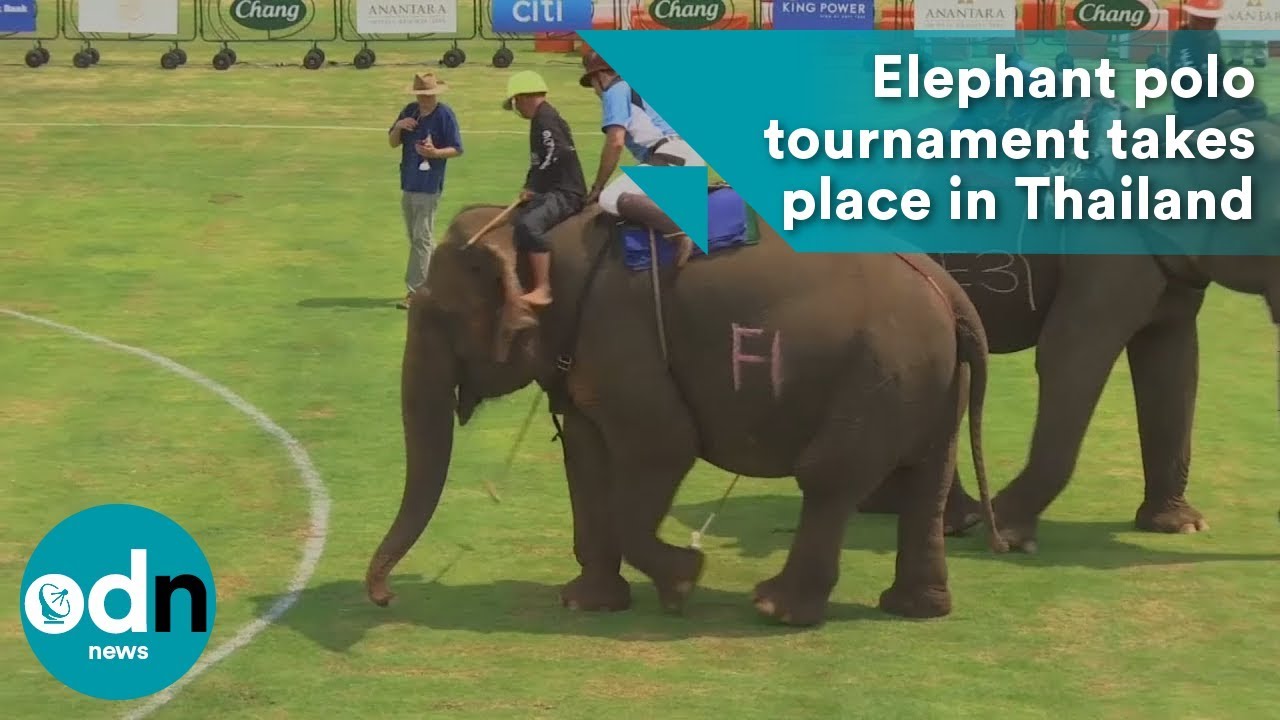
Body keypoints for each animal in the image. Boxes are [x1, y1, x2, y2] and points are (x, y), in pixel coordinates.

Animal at [364, 200, 1008, 626]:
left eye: (438, 315)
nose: (386, 596)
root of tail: (950, 291)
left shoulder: (623, 339)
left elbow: (662, 448)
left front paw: (682, 583)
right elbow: (585, 458)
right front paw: (586, 602)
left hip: (880, 371)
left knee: (830, 477)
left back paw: (775, 608)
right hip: (927, 377)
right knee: (925, 478)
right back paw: (916, 609)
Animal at [854, 97, 1280, 553]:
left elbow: (1175, 363)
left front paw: (1183, 526)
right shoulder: (1104, 250)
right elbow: (1071, 355)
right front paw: (1009, 538)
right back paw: (955, 519)